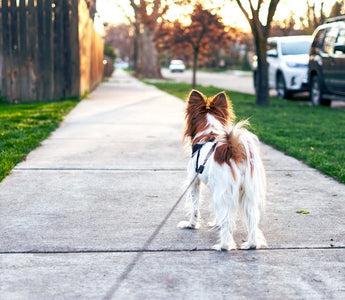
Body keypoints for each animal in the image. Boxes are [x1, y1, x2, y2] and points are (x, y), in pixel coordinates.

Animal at [177, 89, 266, 251]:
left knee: (228, 222)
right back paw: (251, 244)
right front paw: (215, 223)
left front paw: (191, 225)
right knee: (252, 219)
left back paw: (223, 246)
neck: (209, 133)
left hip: (224, 192)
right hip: (247, 193)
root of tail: (233, 150)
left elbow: (195, 207)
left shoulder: (194, 181)